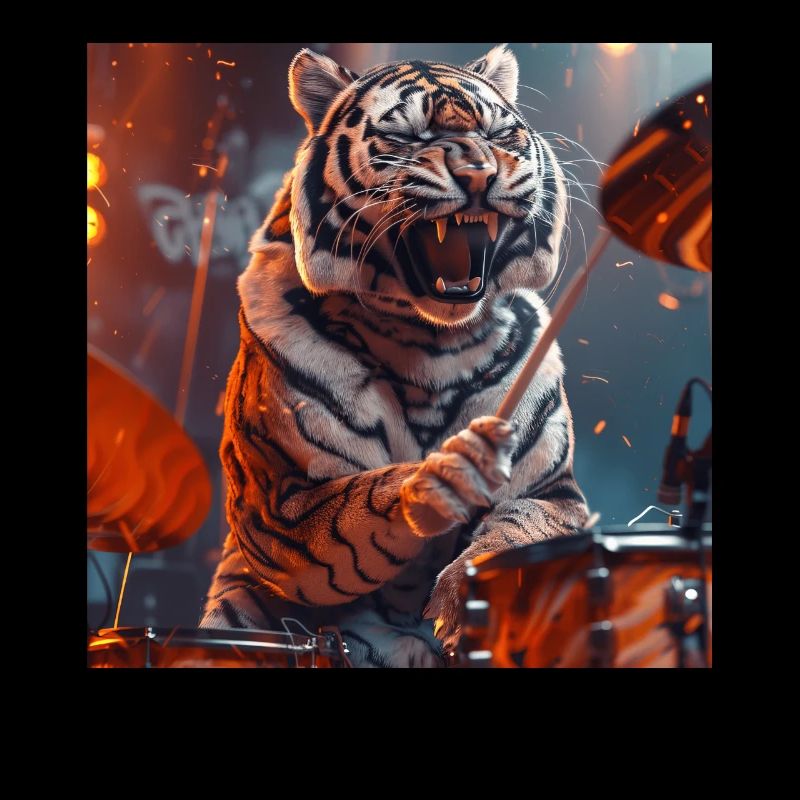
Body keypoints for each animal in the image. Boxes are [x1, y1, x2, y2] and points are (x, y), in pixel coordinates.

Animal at [199, 44, 590, 667]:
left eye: (497, 132)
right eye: (408, 136)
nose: (480, 173)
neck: (428, 342)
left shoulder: (554, 496)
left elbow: (517, 527)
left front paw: (463, 598)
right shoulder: (280, 504)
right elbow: (358, 502)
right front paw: (437, 480)